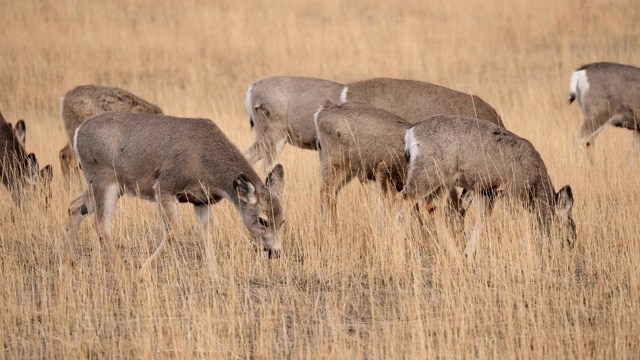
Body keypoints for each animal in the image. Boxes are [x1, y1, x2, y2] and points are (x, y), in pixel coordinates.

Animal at [67, 112, 284, 272]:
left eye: (282, 221)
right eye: (263, 220)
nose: (276, 252)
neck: (205, 160)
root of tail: (78, 132)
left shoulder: (202, 200)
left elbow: (206, 234)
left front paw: (214, 276)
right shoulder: (165, 186)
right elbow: (173, 232)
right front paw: (142, 272)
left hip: (103, 185)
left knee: (74, 207)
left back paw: (68, 261)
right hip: (105, 180)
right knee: (102, 225)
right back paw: (123, 271)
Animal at [400, 114, 576, 258]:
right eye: (568, 238)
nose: (564, 257)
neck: (534, 178)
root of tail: (411, 132)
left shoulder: (485, 190)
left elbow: (482, 221)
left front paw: (468, 253)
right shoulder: (511, 192)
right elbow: (521, 223)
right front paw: (530, 254)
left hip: (443, 181)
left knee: (432, 207)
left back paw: (455, 255)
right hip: (428, 173)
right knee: (403, 201)